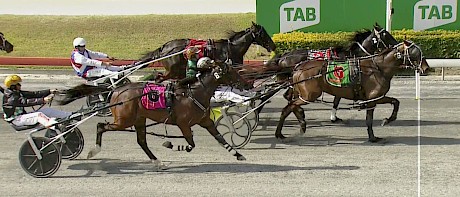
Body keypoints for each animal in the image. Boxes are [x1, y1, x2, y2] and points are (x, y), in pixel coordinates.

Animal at [56, 61, 255, 168]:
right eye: (232, 71)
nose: (248, 83)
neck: (194, 93)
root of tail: (115, 90)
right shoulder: (184, 124)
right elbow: (191, 144)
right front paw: (171, 144)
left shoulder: (206, 121)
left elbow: (220, 138)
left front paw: (238, 154)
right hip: (123, 120)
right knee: (101, 126)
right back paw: (94, 150)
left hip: (139, 119)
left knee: (141, 141)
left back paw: (158, 162)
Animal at [137, 21, 274, 82]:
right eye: (263, 33)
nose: (273, 45)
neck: (231, 48)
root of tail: (164, 49)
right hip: (173, 70)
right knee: (160, 78)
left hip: (178, 70)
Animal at [276, 40, 432, 142]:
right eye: (415, 53)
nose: (426, 68)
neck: (378, 67)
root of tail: (298, 67)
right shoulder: (373, 98)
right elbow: (370, 119)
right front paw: (373, 136)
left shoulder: (376, 97)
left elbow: (395, 102)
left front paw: (387, 120)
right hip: (310, 95)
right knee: (288, 107)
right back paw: (282, 132)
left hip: (302, 93)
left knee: (291, 104)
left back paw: (299, 124)